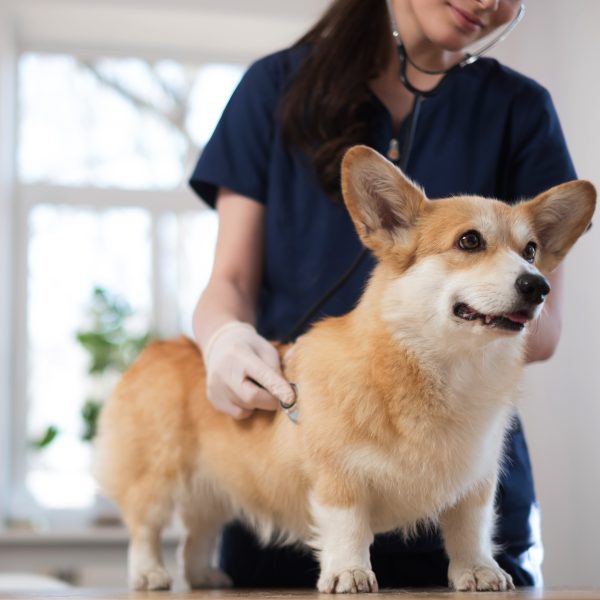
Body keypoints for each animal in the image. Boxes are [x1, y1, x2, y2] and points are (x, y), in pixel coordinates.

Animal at [94, 146, 596, 596]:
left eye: (530, 250)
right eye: (469, 241)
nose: (539, 286)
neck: (443, 368)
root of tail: (156, 349)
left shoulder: (476, 481)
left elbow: (469, 529)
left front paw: (478, 572)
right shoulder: (339, 477)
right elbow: (348, 527)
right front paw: (349, 573)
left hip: (213, 490)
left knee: (198, 534)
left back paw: (203, 576)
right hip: (156, 479)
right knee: (145, 529)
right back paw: (150, 574)